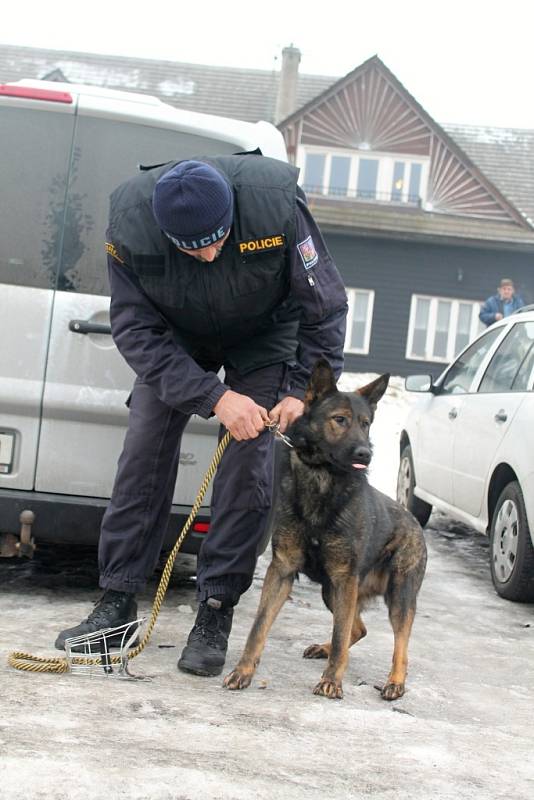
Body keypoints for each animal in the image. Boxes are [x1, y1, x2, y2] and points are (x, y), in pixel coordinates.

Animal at [224, 358, 430, 700]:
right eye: (340, 420)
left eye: (366, 423)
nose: (365, 453)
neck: (321, 478)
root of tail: (412, 519)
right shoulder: (282, 571)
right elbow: (259, 627)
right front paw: (243, 671)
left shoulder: (344, 579)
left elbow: (340, 635)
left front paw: (332, 681)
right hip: (331, 591)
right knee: (357, 628)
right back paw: (325, 649)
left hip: (395, 596)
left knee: (398, 643)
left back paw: (395, 681)